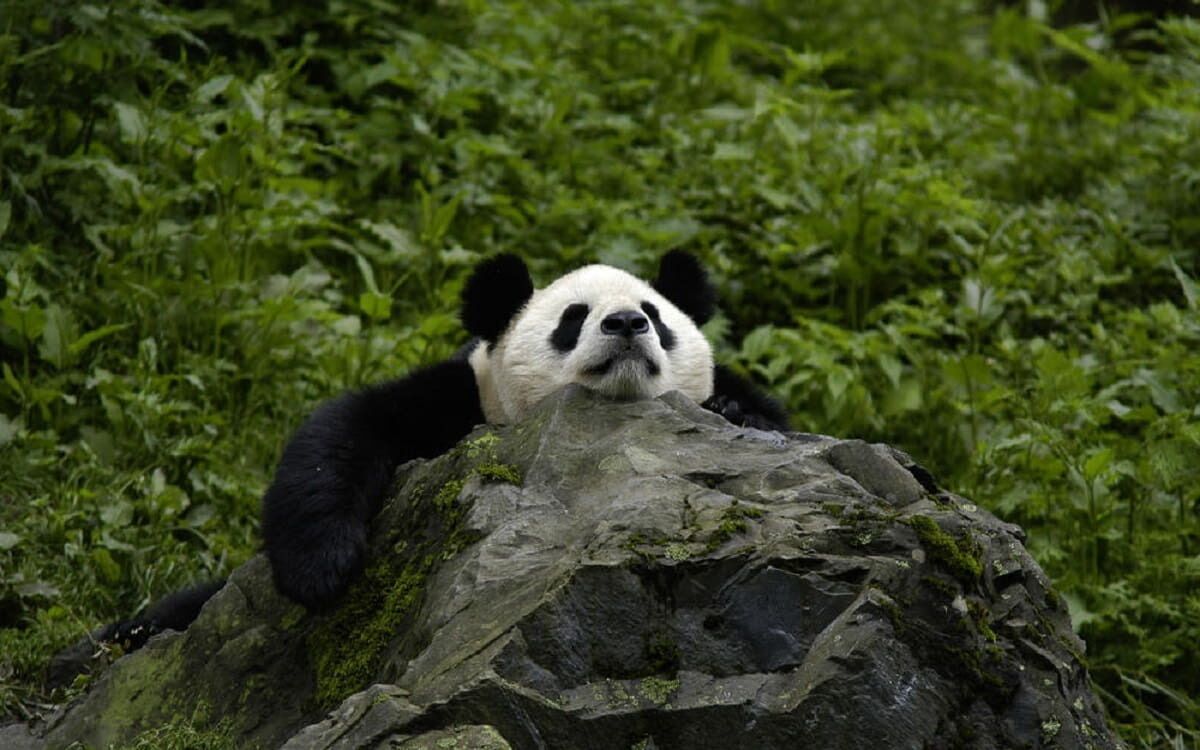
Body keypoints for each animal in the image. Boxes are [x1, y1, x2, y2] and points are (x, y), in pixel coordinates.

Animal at [97, 251, 787, 649]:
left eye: (655, 314)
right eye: (573, 317)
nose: (625, 325)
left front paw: (738, 414)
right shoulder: (465, 401)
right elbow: (347, 429)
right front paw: (322, 566)